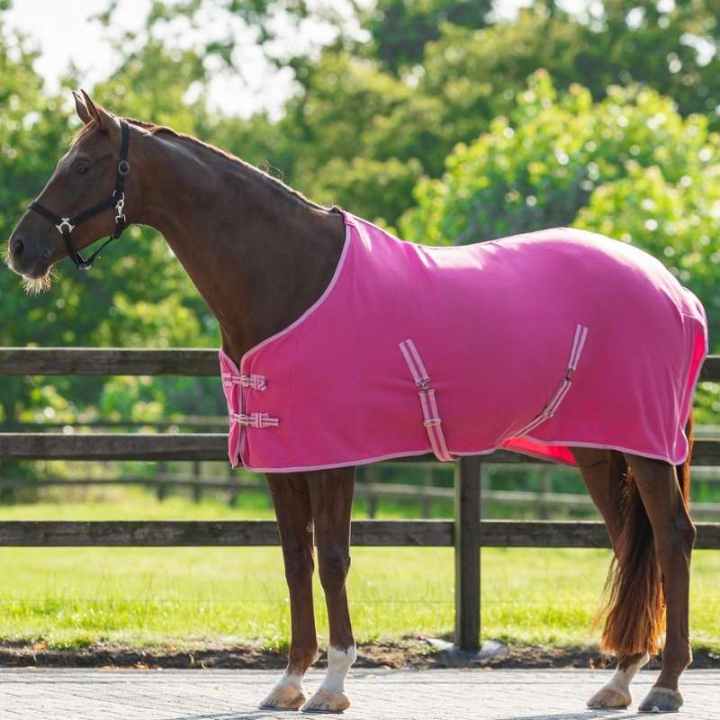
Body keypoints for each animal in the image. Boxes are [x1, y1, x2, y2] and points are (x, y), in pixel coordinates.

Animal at [6, 91, 704, 714]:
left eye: (83, 166)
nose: (19, 248)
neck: (291, 276)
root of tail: (675, 290)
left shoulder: (333, 457)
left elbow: (334, 561)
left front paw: (334, 684)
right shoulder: (283, 459)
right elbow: (295, 562)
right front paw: (289, 682)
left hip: (646, 448)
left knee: (672, 536)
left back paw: (666, 685)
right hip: (600, 448)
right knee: (630, 543)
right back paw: (618, 681)